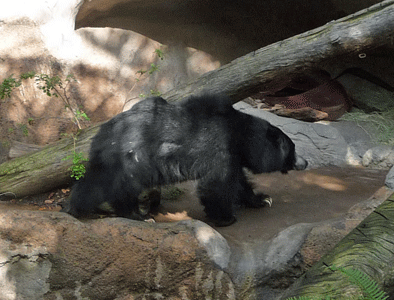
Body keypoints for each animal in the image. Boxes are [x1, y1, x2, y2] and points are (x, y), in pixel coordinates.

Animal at [63, 94, 308, 225]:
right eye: (292, 149)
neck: (239, 135)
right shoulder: (219, 148)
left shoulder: (234, 157)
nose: (304, 162)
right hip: (131, 159)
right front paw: (226, 218)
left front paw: (262, 199)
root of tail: (101, 134)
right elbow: (217, 184)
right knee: (112, 186)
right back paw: (135, 214)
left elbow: (239, 181)